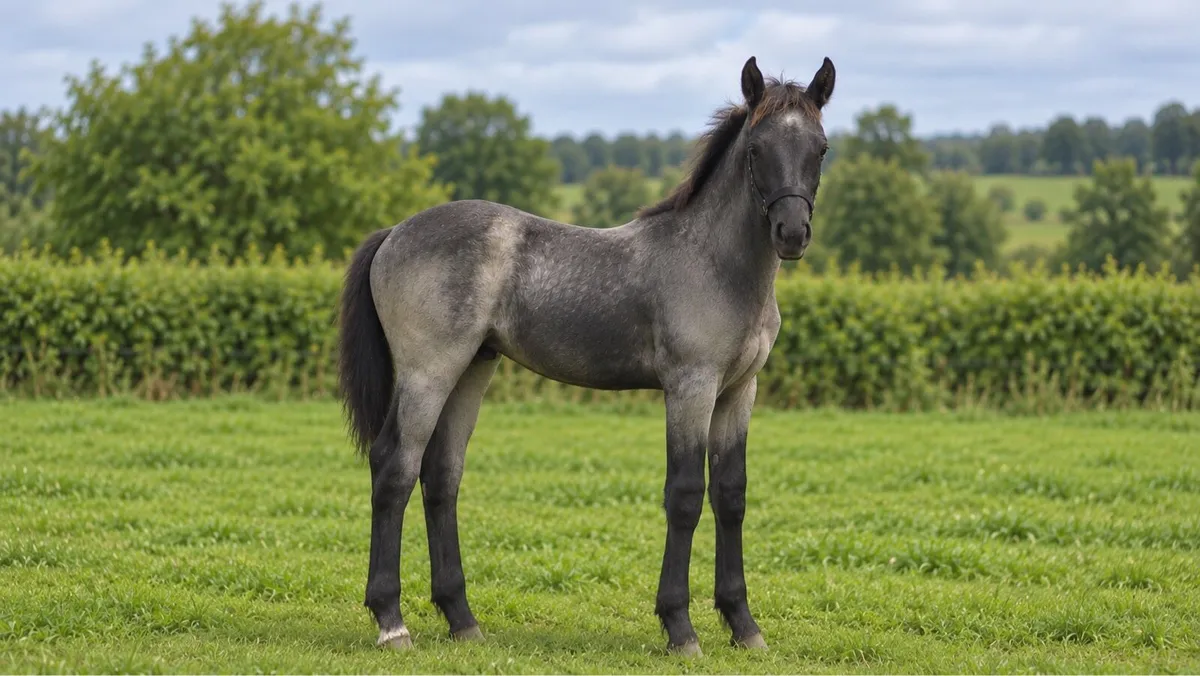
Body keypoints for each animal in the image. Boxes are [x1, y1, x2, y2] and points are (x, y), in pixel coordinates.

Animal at [336, 54, 836, 656]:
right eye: (757, 148)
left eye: (820, 148)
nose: (792, 233)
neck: (716, 263)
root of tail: (394, 233)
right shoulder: (690, 388)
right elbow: (686, 494)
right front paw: (680, 627)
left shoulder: (740, 392)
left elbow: (731, 496)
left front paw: (743, 625)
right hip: (428, 373)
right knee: (395, 468)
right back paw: (392, 622)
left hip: (472, 369)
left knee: (441, 477)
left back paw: (462, 619)